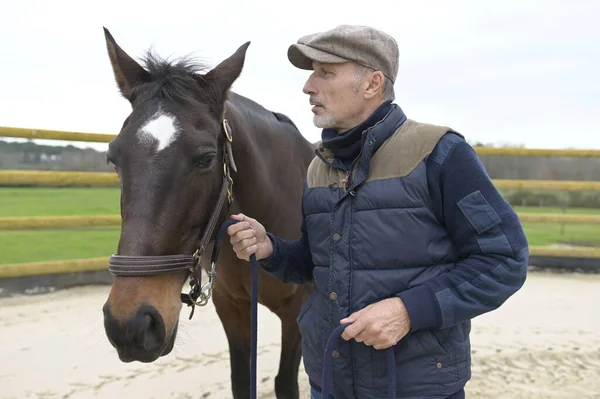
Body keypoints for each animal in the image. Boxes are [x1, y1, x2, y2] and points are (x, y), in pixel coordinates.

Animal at [99, 28, 316, 399]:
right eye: (114, 157)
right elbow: (241, 381)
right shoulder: (232, 308)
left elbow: (286, 382)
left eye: (206, 158)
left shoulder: (297, 311)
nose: (131, 324)